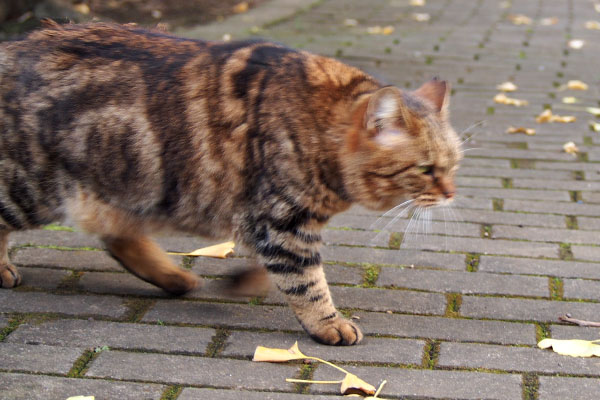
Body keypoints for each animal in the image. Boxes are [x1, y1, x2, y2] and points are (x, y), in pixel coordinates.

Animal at [0, 21, 460, 346]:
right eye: (426, 169)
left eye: (453, 165)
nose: (451, 194)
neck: (319, 124)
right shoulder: (282, 222)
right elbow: (307, 282)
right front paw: (329, 323)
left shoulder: (266, 223)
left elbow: (274, 269)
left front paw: (247, 281)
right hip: (32, 188)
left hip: (124, 189)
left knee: (118, 238)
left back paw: (176, 278)